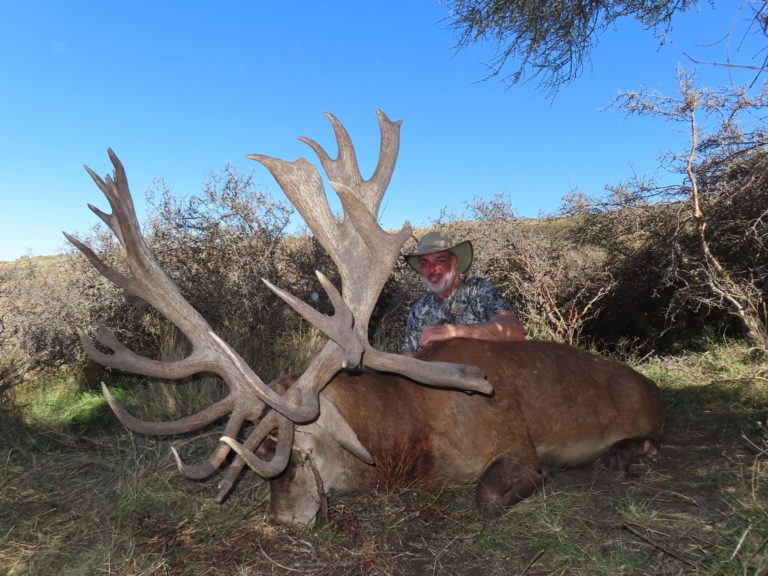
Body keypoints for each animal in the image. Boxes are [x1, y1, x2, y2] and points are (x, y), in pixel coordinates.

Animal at [65, 110, 664, 528]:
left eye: (297, 450)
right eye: (257, 448)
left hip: (645, 413)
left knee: (653, 438)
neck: (410, 437)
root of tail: (650, 385)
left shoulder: (513, 443)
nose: (281, 520)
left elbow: (490, 494)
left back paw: (625, 457)